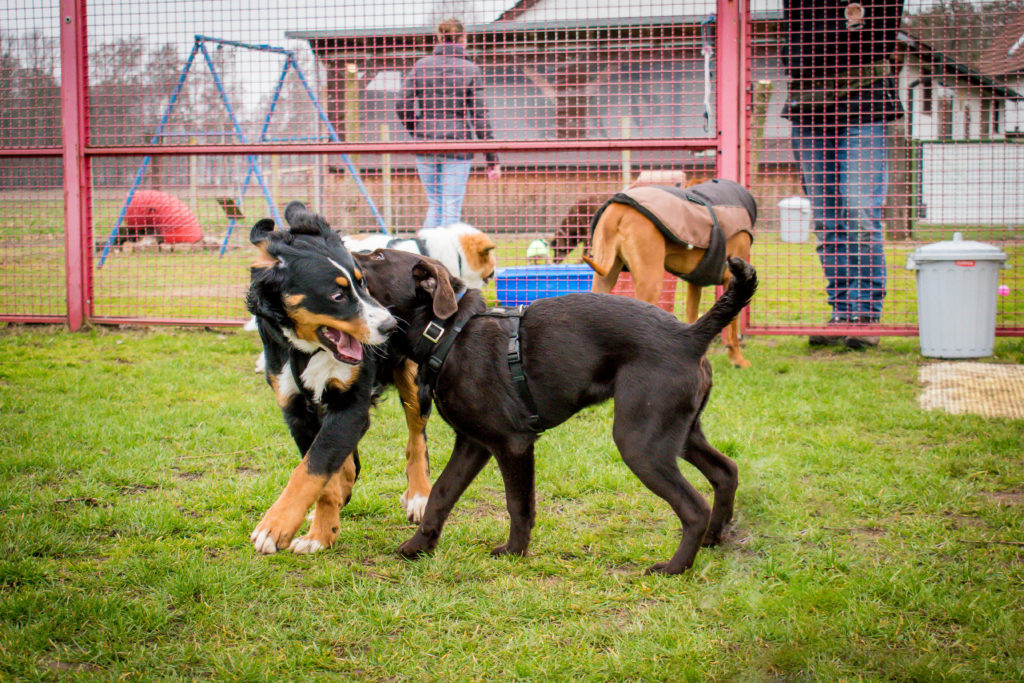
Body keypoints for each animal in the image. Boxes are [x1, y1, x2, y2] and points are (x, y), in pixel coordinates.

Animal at [248, 202, 436, 557]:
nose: (391, 326)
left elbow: (312, 469)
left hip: (413, 381)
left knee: (416, 438)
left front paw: (277, 526)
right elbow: (319, 471)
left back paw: (420, 495)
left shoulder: (351, 403)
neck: (307, 350)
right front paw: (320, 531)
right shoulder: (296, 410)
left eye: (362, 284)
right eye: (337, 295)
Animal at [356, 248, 757, 573]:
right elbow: (441, 493)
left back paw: (675, 567)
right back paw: (713, 537)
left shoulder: (512, 444)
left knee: (694, 507)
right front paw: (418, 547)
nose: (346, 245)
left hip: (640, 442)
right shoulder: (473, 444)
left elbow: (518, 504)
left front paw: (514, 552)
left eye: (377, 256)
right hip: (679, 433)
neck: (448, 333)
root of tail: (689, 335)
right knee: (726, 471)